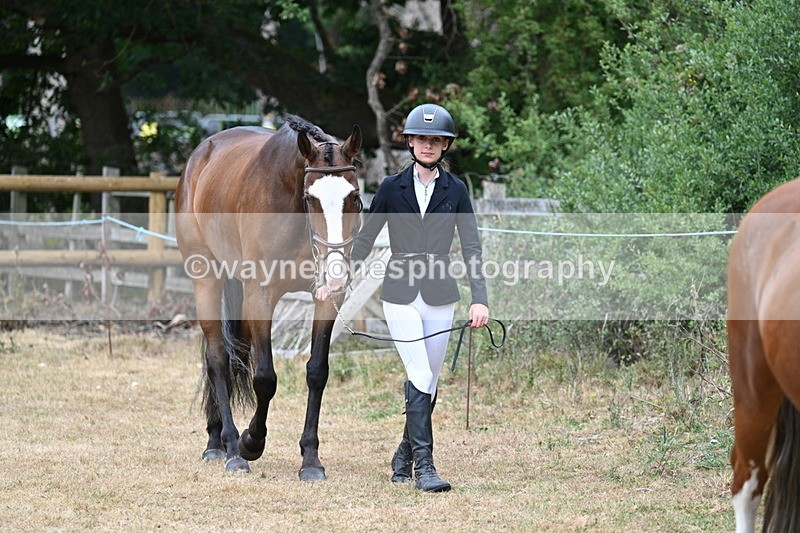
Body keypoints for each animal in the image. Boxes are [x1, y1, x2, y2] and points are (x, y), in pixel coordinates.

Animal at [175, 115, 362, 480]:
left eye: (355, 197)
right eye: (310, 198)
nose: (336, 270)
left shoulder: (326, 300)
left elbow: (317, 372)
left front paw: (310, 459)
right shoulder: (261, 296)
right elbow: (264, 379)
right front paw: (251, 442)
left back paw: (216, 439)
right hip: (207, 281)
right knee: (218, 359)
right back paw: (229, 448)